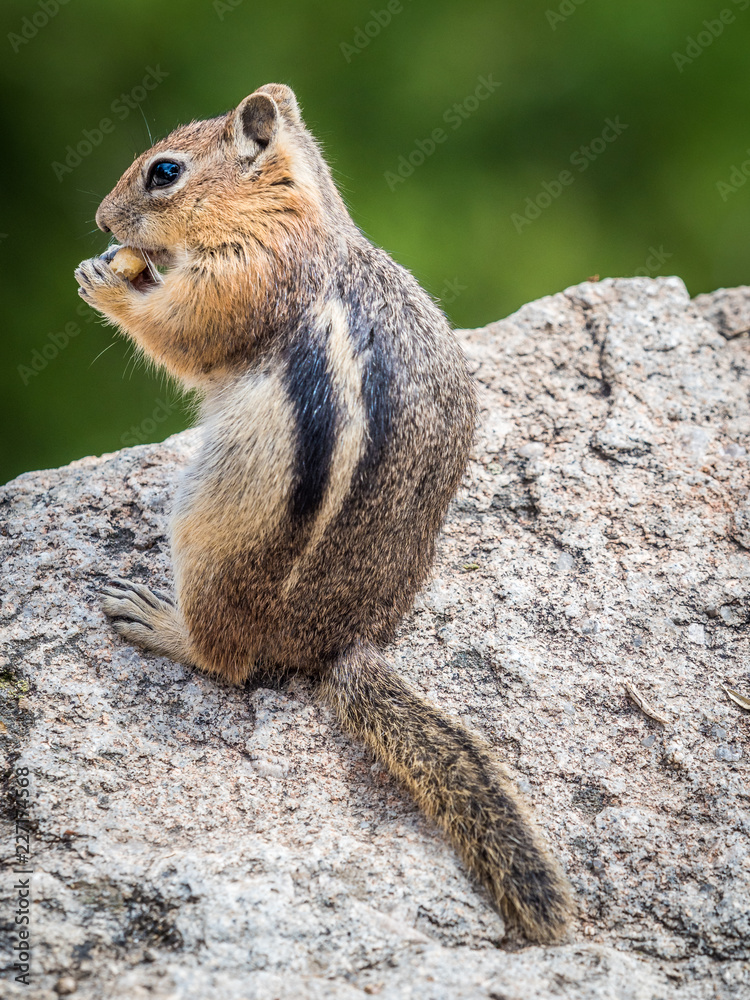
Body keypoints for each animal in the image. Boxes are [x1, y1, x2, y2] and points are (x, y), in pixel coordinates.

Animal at [75, 83, 572, 942]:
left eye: (163, 172)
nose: (104, 222)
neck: (293, 214)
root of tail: (340, 643)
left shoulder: (247, 279)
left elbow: (184, 335)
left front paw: (106, 280)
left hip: (210, 534)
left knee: (228, 661)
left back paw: (158, 619)